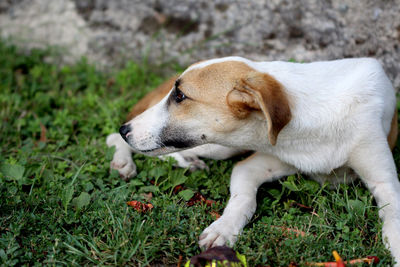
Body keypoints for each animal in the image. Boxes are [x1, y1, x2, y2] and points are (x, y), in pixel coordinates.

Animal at [107, 56, 400, 266]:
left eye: (180, 96)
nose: (126, 129)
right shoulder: (250, 165)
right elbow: (243, 201)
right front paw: (223, 229)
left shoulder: (385, 182)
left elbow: (394, 215)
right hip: (220, 147)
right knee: (115, 139)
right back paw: (126, 162)